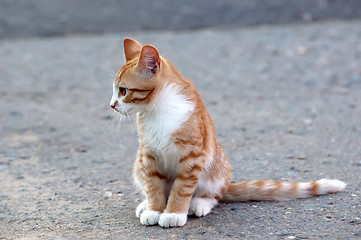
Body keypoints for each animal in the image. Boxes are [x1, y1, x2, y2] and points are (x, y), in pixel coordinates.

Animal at [109, 37, 346, 227]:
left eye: (123, 91)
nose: (111, 105)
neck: (157, 111)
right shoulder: (148, 155)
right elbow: (153, 186)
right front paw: (154, 209)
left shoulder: (193, 156)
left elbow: (181, 188)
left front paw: (174, 213)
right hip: (138, 165)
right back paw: (145, 205)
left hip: (215, 170)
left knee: (214, 196)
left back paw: (198, 203)